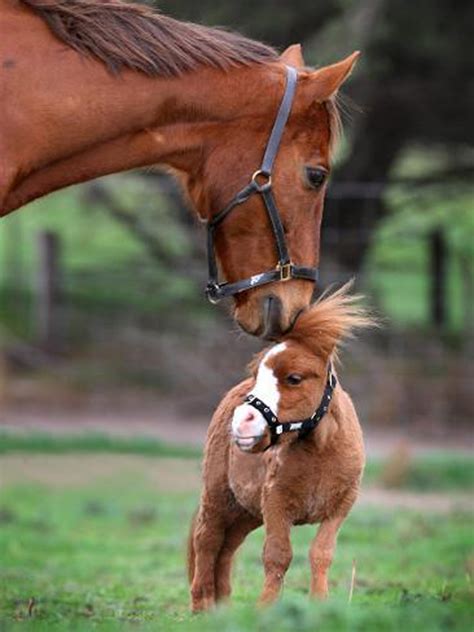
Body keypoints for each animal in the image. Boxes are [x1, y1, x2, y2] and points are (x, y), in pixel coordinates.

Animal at [189, 284, 374, 608]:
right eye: (257, 375)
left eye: (294, 378)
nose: (242, 421)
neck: (319, 453)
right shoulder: (276, 504)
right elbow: (277, 556)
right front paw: (265, 608)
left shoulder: (340, 507)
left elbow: (321, 553)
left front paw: (319, 604)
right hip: (218, 495)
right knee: (207, 539)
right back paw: (202, 606)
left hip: (246, 511)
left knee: (227, 547)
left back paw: (222, 608)